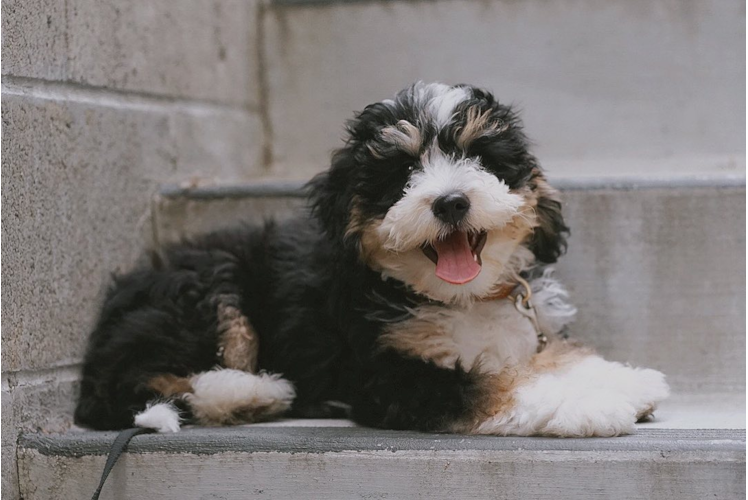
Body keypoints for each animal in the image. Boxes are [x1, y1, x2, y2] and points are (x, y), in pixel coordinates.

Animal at [77, 83, 672, 438]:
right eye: (401, 172)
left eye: (479, 157)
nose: (451, 201)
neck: (458, 297)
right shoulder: (385, 375)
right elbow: (488, 383)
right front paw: (588, 405)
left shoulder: (529, 324)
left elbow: (546, 355)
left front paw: (619, 378)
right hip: (206, 290)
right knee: (143, 380)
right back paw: (254, 393)